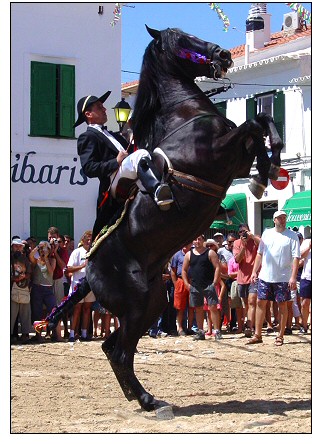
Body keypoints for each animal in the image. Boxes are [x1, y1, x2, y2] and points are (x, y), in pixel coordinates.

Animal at [39, 27, 282, 412]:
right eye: (181, 39)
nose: (223, 55)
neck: (184, 115)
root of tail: (87, 272)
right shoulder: (217, 153)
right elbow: (252, 124)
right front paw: (269, 167)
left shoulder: (235, 162)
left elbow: (259, 125)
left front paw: (270, 166)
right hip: (138, 304)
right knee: (119, 351)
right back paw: (146, 399)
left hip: (151, 303)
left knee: (114, 348)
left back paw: (143, 397)